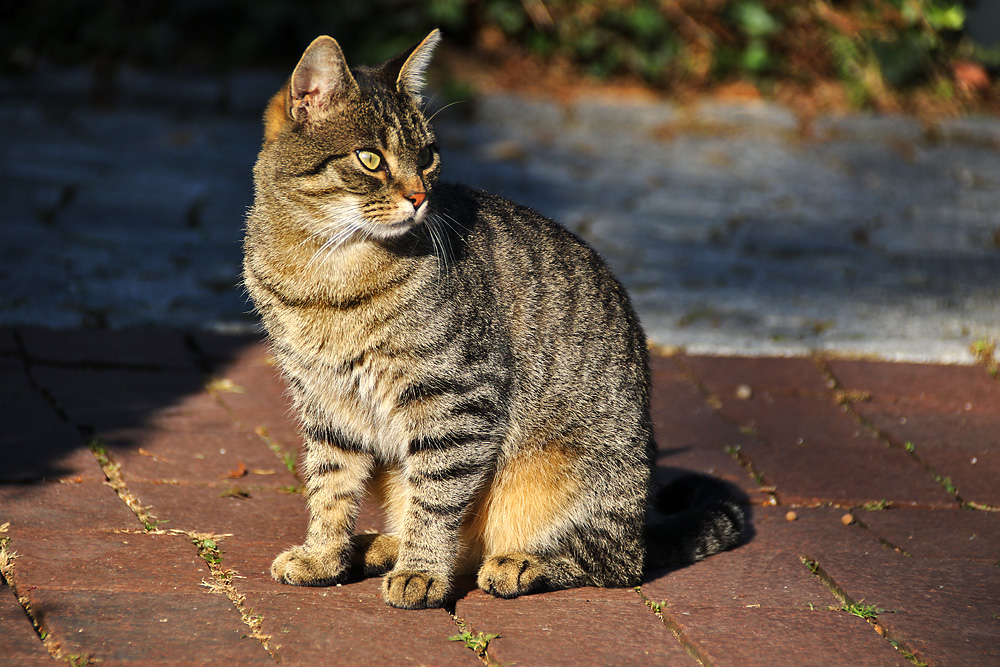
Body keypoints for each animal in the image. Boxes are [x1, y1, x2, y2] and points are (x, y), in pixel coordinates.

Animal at [242, 30, 744, 612]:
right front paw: (324, 555)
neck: (322, 271)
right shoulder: (324, 400)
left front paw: (421, 571)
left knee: (612, 563)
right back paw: (381, 544)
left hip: (583, 478)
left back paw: (518, 562)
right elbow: (331, 487)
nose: (419, 196)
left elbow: (436, 498)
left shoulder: (455, 400)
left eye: (427, 156)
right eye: (370, 158)